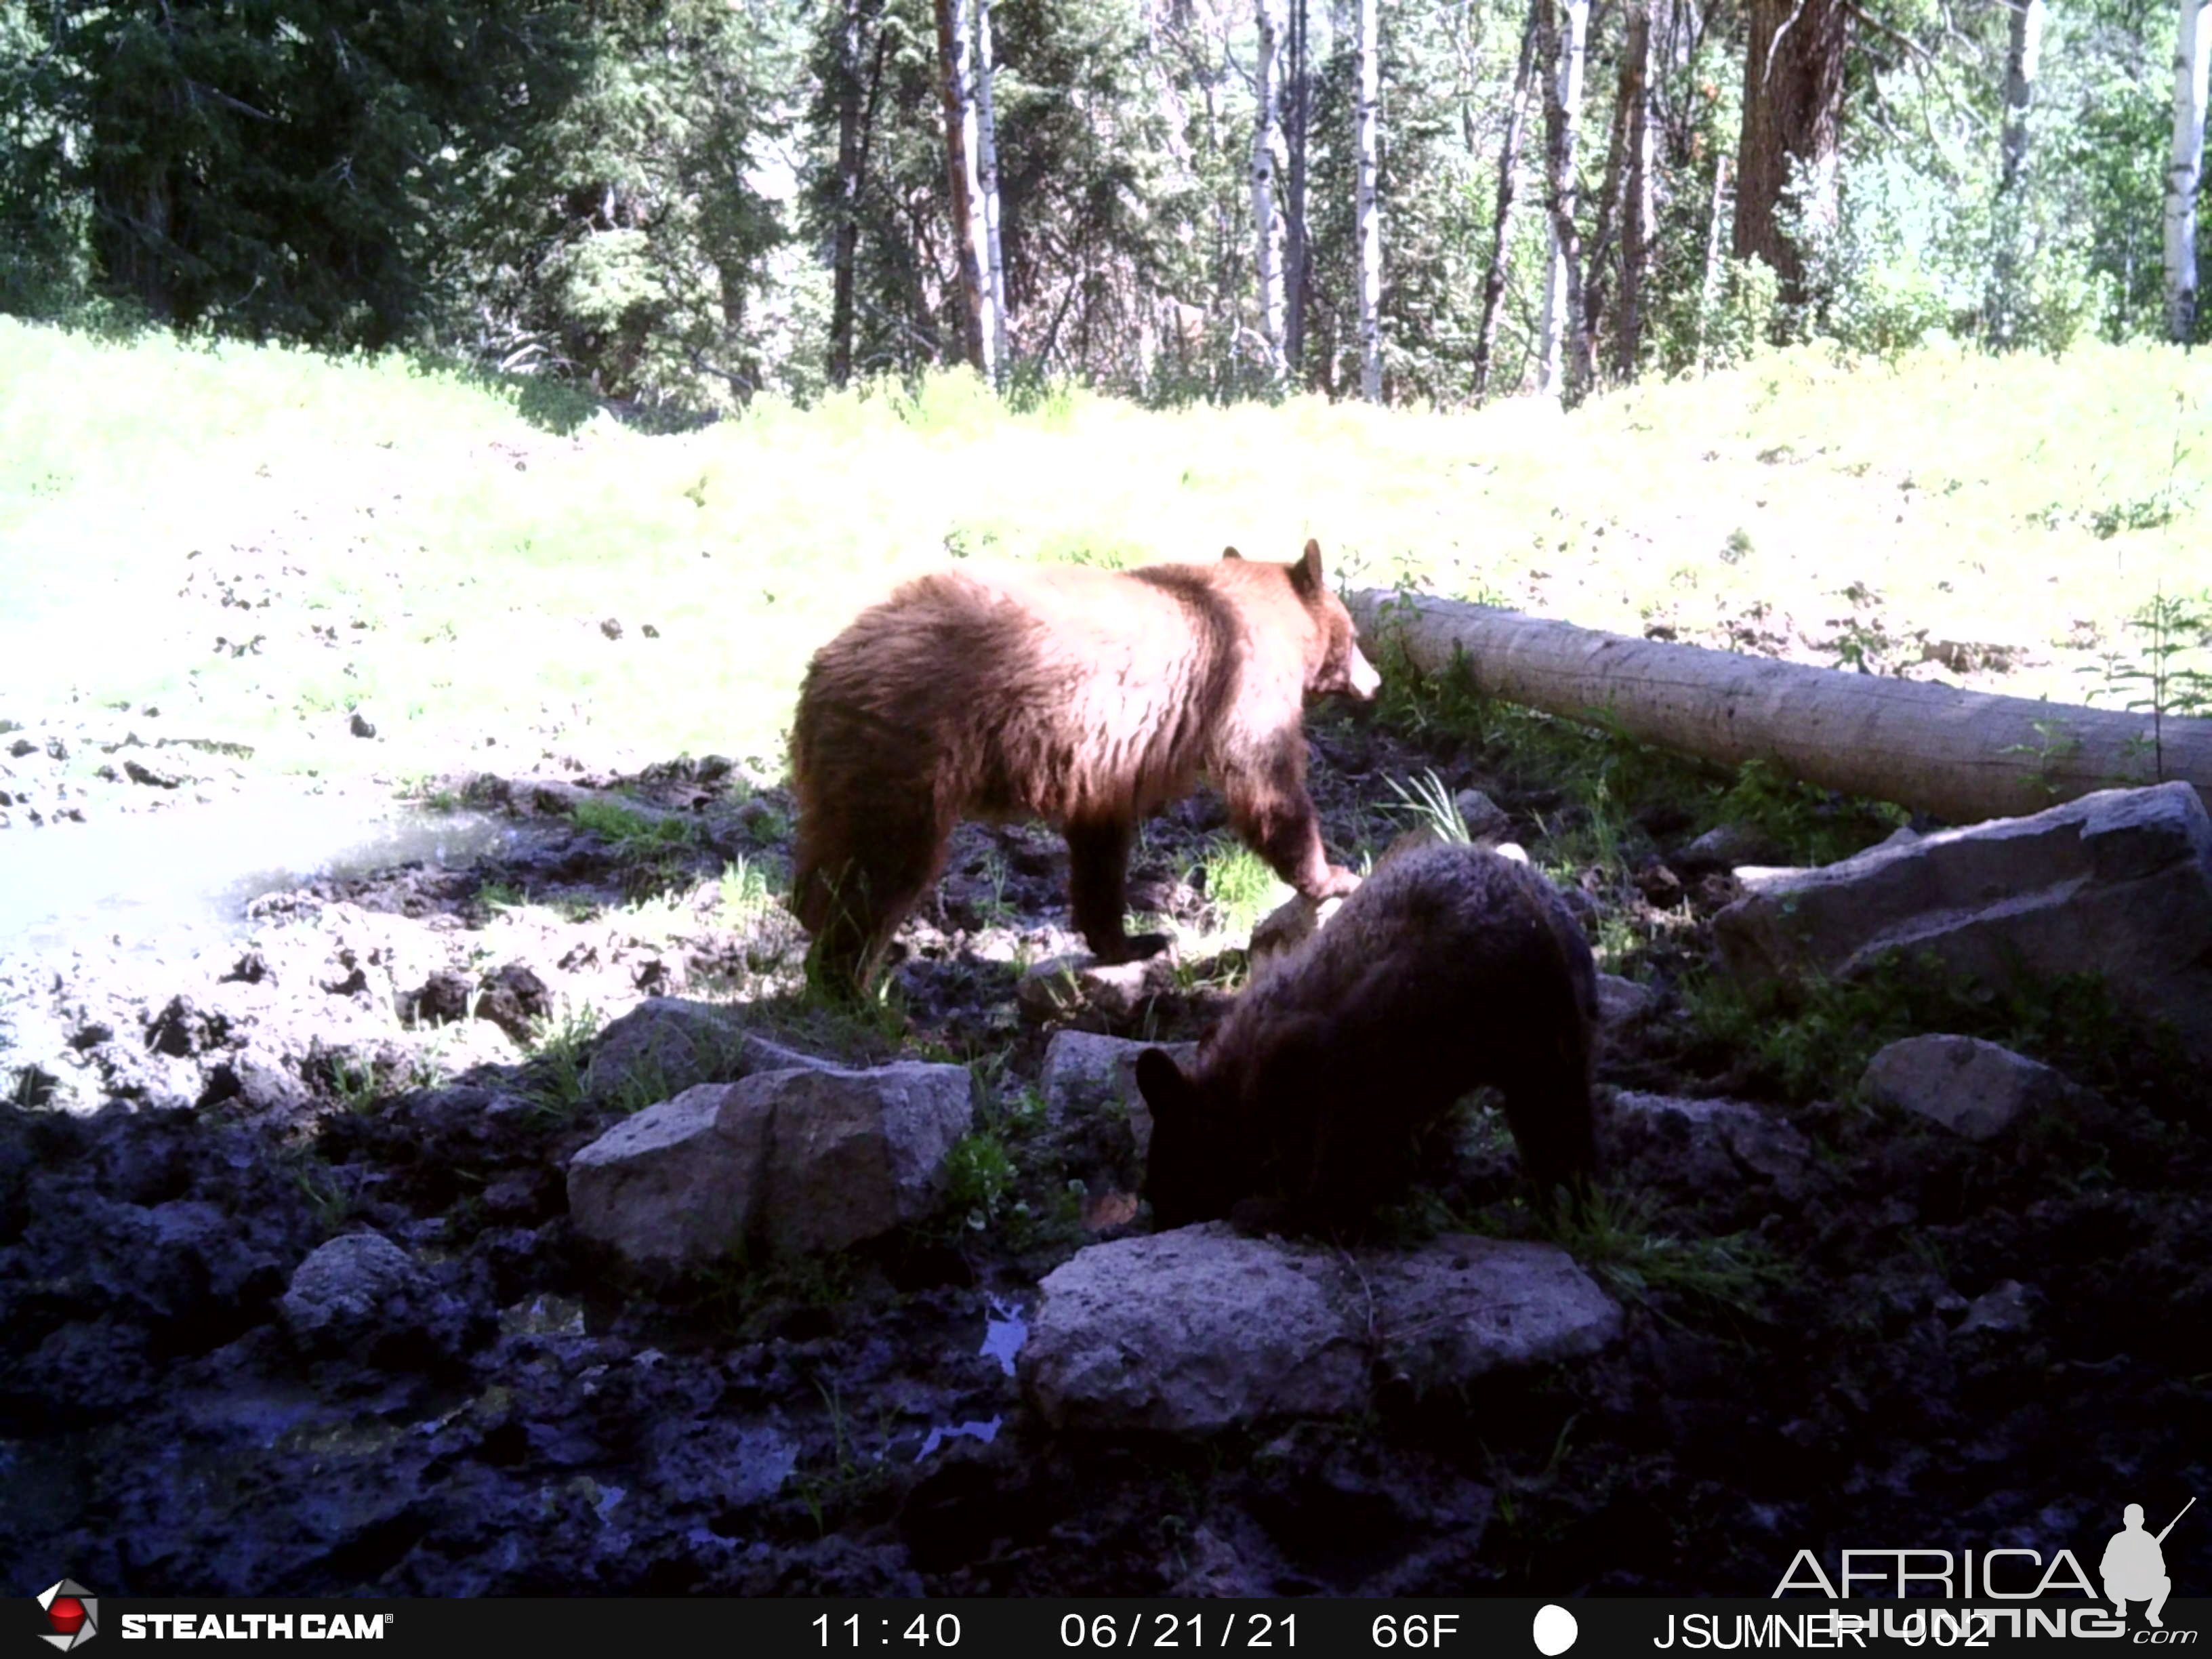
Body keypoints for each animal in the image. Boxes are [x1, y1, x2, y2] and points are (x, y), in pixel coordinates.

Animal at [787, 541, 1371, 986]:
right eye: (1357, 636)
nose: (1376, 679)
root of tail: (826, 665)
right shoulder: (1243, 682)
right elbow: (1268, 784)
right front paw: (1334, 876)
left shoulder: (1108, 760)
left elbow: (1101, 848)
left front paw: (1131, 939)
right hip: (907, 749)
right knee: (881, 870)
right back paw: (851, 987)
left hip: (844, 768)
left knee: (830, 859)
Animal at [1141, 849, 1593, 1229]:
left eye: (1172, 1177)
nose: (1163, 1222)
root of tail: (1538, 936)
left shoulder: (1297, 1056)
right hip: (1552, 1050)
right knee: (1558, 1127)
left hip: (1398, 1019)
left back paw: (1283, 1212)